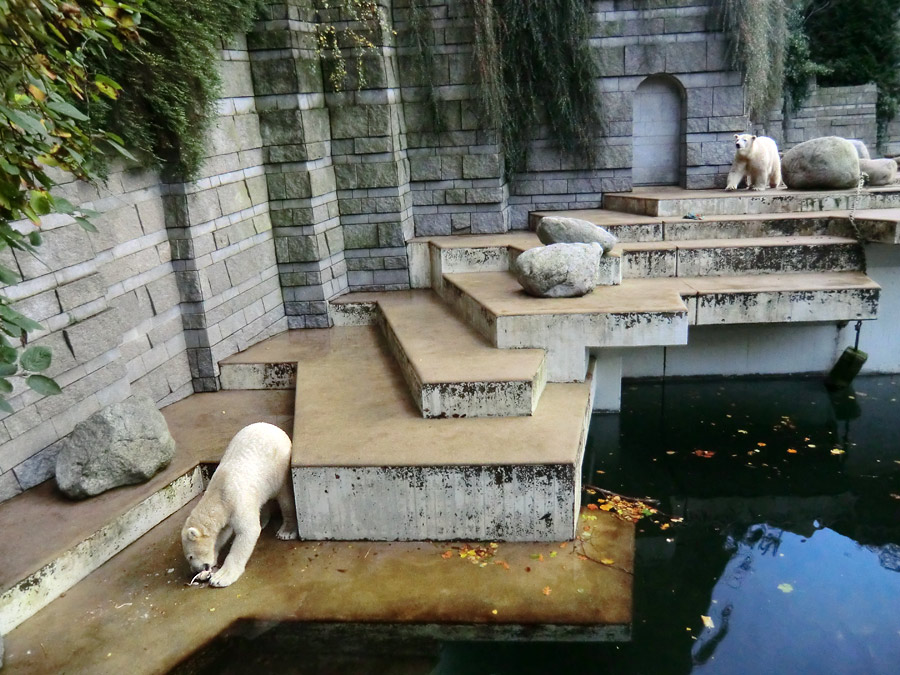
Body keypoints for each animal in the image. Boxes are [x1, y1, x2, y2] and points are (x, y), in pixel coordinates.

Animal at [181, 422, 298, 588]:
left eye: (190, 556)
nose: (194, 570)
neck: (219, 494)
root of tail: (273, 427)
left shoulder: (237, 501)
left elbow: (247, 532)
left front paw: (221, 577)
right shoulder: (226, 512)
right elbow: (222, 534)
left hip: (279, 467)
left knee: (285, 497)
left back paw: (286, 530)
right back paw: (263, 520)